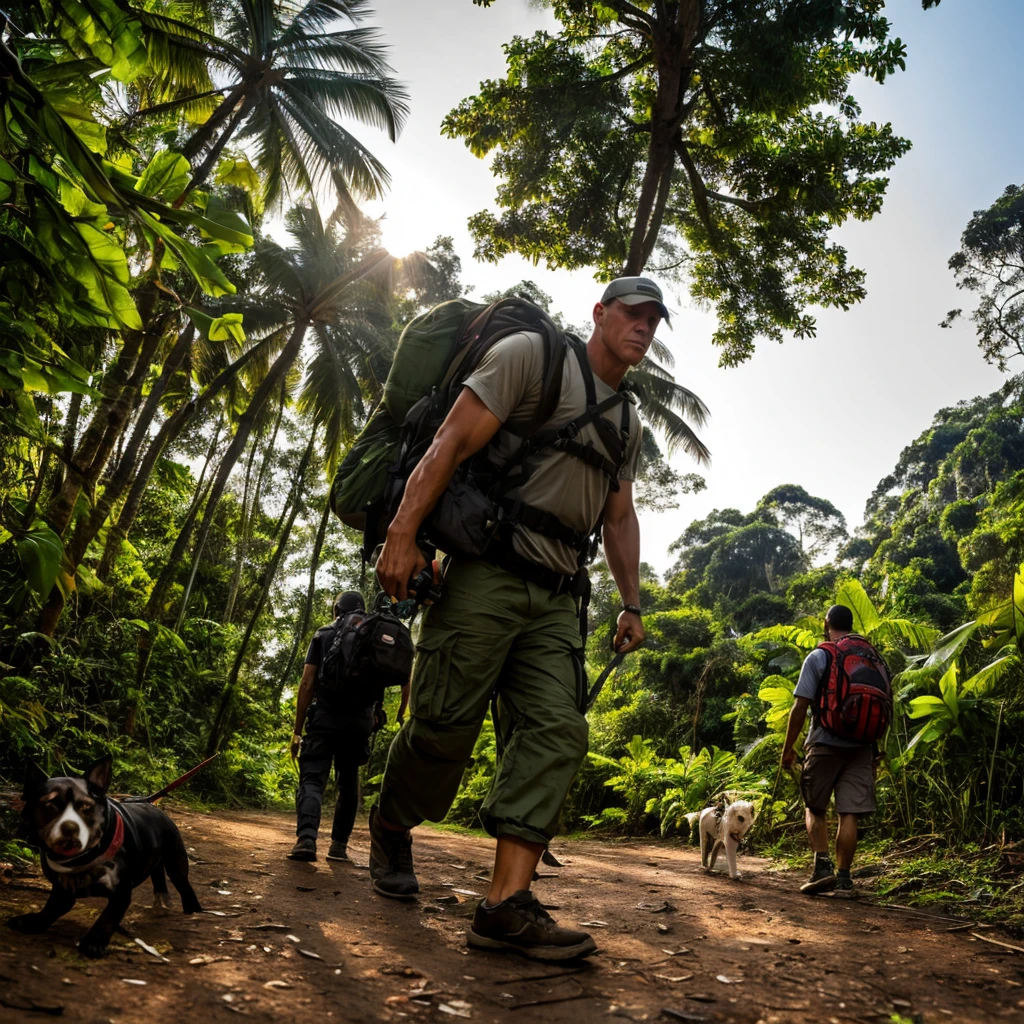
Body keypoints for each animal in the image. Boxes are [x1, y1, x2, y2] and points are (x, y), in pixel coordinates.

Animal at [7, 753, 201, 958]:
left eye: (86, 806)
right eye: (50, 804)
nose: (70, 827)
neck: (82, 859)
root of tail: (154, 807)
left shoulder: (121, 892)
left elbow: (107, 918)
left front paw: (93, 942)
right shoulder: (62, 892)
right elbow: (50, 909)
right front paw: (31, 922)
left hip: (176, 863)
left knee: (184, 885)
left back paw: (193, 910)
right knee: (157, 872)